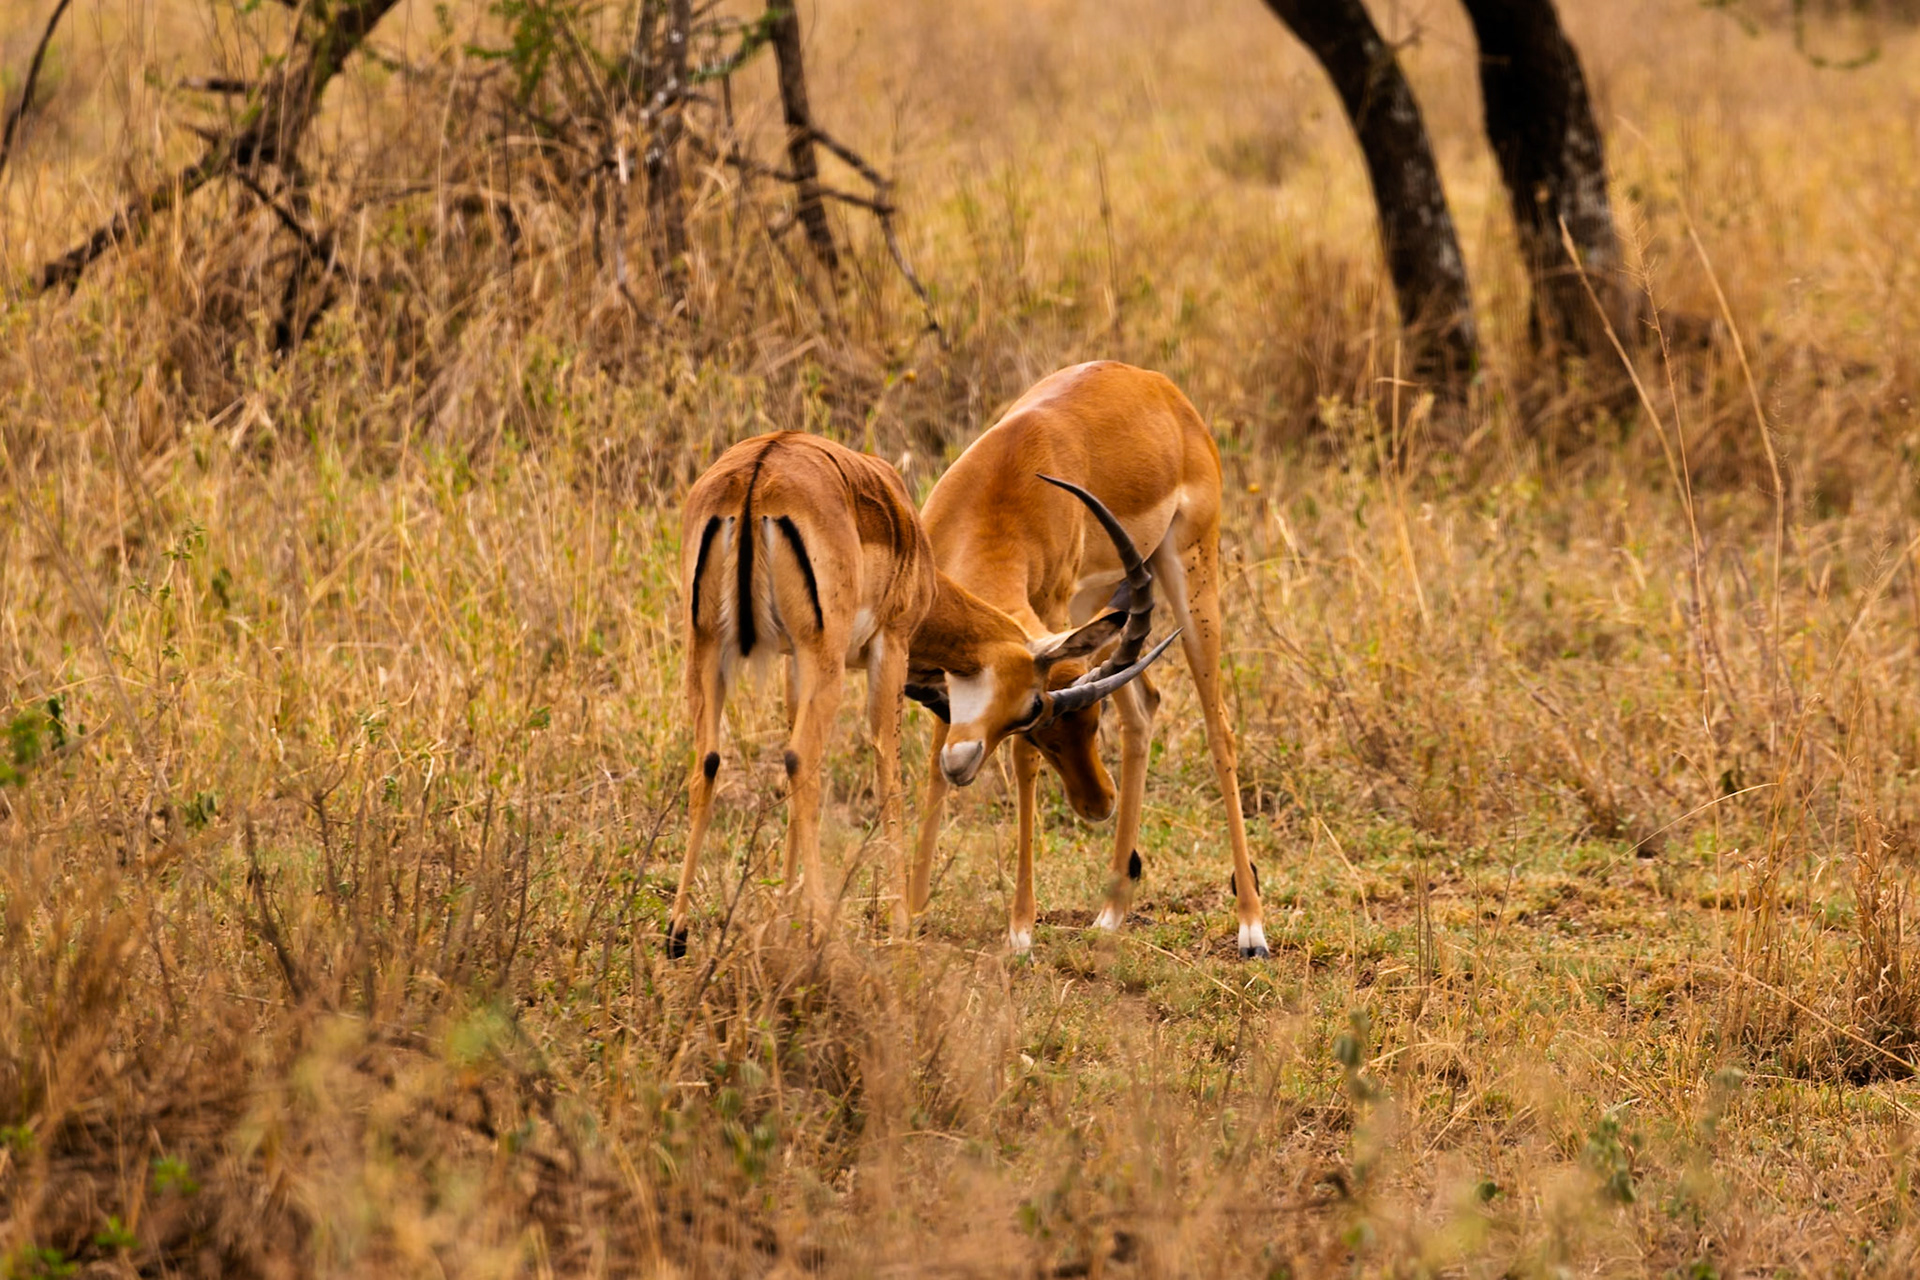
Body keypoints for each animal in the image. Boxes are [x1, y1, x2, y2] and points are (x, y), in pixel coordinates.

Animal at [672, 430, 1169, 955]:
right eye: (1035, 712)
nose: (1099, 803)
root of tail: (757, 476)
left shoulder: (793, 659)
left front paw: (785, 920)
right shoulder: (891, 645)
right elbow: (889, 774)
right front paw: (898, 927)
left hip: (709, 645)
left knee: (708, 761)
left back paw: (678, 935)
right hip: (820, 655)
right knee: (800, 759)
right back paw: (824, 934)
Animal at [906, 361, 1270, 960]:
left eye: (1029, 719)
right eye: (1042, 728)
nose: (1098, 803)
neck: (998, 493)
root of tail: (1160, 388)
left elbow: (1020, 770)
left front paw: (1020, 931)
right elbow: (938, 751)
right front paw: (909, 914)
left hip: (1189, 571)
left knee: (1220, 729)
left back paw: (1252, 930)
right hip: (1101, 609)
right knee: (1144, 707)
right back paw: (1111, 912)